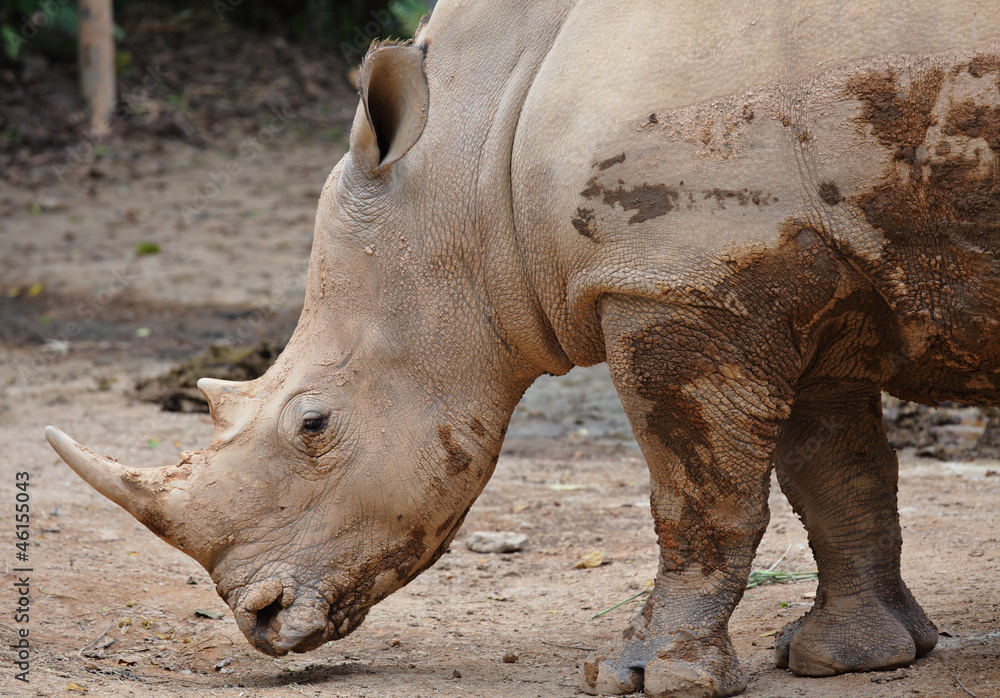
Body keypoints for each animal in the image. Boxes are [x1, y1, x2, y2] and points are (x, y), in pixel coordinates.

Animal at [45, 1, 1000, 696]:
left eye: (314, 425)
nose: (262, 619)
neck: (474, 157)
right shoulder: (786, 275)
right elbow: (838, 474)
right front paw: (852, 657)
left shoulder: (674, 280)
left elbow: (698, 494)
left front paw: (646, 677)